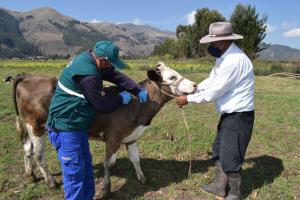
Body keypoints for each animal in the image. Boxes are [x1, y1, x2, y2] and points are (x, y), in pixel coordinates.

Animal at [13, 61, 197, 195]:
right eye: (172, 77)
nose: (195, 85)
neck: (137, 104)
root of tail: (27, 77)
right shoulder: (113, 137)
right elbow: (108, 163)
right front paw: (106, 189)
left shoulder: (131, 136)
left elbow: (135, 159)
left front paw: (142, 179)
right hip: (36, 125)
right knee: (38, 155)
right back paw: (51, 182)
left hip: (29, 126)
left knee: (27, 148)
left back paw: (31, 175)